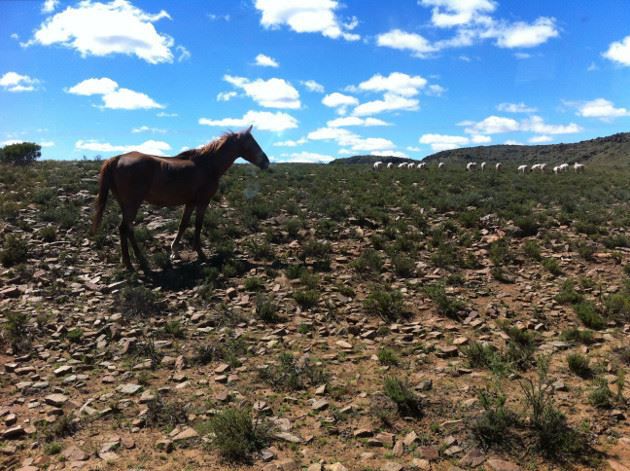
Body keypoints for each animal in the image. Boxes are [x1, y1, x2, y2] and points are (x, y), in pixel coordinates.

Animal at [91, 127, 270, 272]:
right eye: (252, 143)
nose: (266, 162)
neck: (207, 165)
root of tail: (116, 158)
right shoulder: (203, 201)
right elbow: (198, 225)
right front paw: (200, 253)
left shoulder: (190, 202)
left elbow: (183, 225)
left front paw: (174, 251)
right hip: (132, 204)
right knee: (124, 228)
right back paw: (130, 263)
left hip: (125, 204)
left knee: (128, 229)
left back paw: (137, 259)